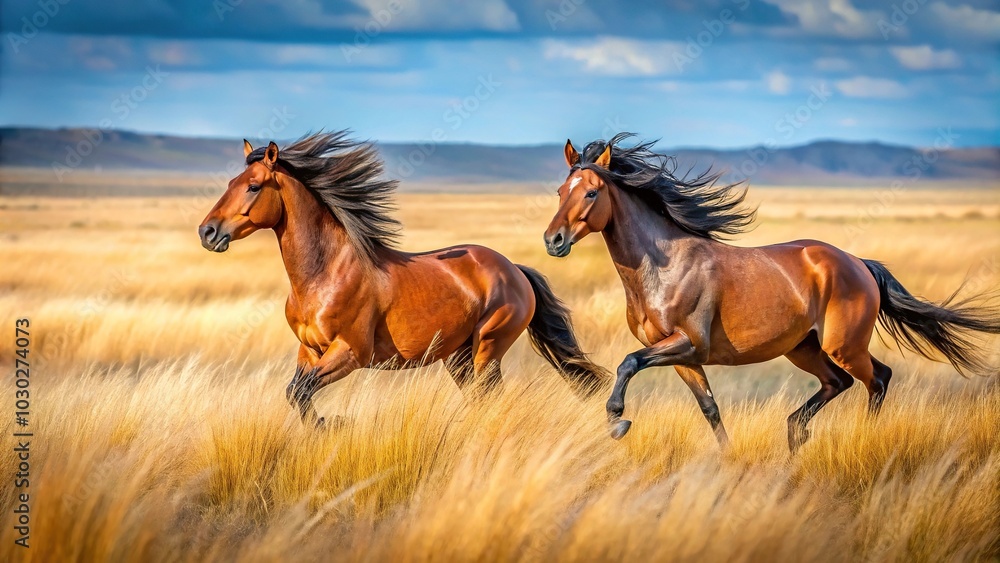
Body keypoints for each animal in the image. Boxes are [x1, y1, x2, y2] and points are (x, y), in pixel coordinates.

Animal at [199, 131, 608, 427]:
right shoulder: (309, 351)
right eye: (232, 181)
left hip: (487, 348)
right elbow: (295, 392)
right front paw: (326, 425)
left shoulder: (349, 353)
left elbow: (300, 392)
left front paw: (335, 423)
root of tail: (514, 270)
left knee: (489, 397)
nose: (207, 232)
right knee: (480, 399)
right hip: (457, 356)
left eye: (253, 186)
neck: (324, 275)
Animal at [543, 133, 1000, 452]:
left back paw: (860, 437)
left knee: (878, 379)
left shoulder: (686, 343)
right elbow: (709, 407)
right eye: (561, 191)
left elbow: (627, 363)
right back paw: (796, 433)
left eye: (591, 192)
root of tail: (857, 263)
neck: (663, 267)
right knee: (838, 383)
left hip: (843, 345)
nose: (554, 240)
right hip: (803, 347)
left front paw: (617, 421)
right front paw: (727, 455)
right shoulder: (683, 357)